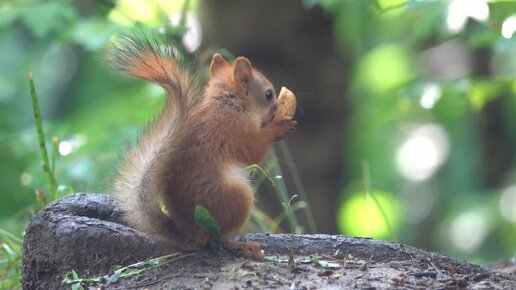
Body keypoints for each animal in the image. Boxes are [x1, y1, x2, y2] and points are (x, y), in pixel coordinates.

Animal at [111, 35, 296, 260]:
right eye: (268, 94)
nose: (276, 108)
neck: (230, 105)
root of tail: (185, 232)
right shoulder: (235, 131)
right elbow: (253, 151)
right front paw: (279, 128)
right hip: (235, 198)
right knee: (218, 239)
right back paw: (242, 245)